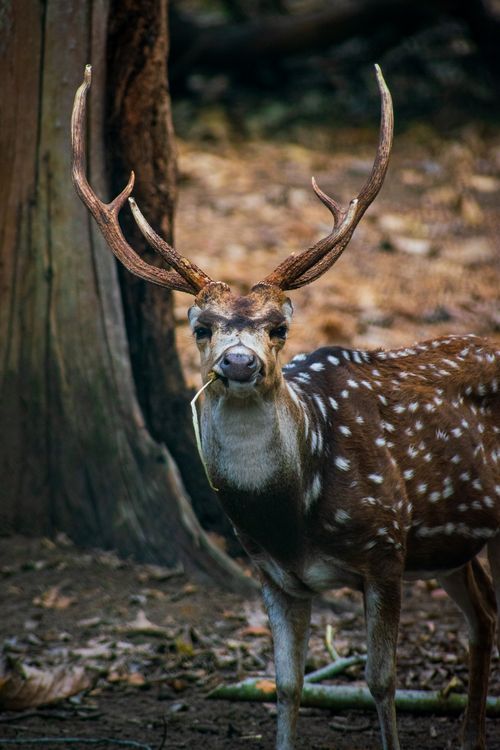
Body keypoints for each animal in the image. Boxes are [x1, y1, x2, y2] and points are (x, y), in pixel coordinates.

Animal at [71, 64, 500, 750]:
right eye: (200, 326)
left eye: (278, 327)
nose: (239, 364)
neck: (292, 515)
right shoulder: (271, 574)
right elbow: (288, 685)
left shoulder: (387, 548)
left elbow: (381, 682)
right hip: (452, 541)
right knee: (484, 614)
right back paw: (470, 736)